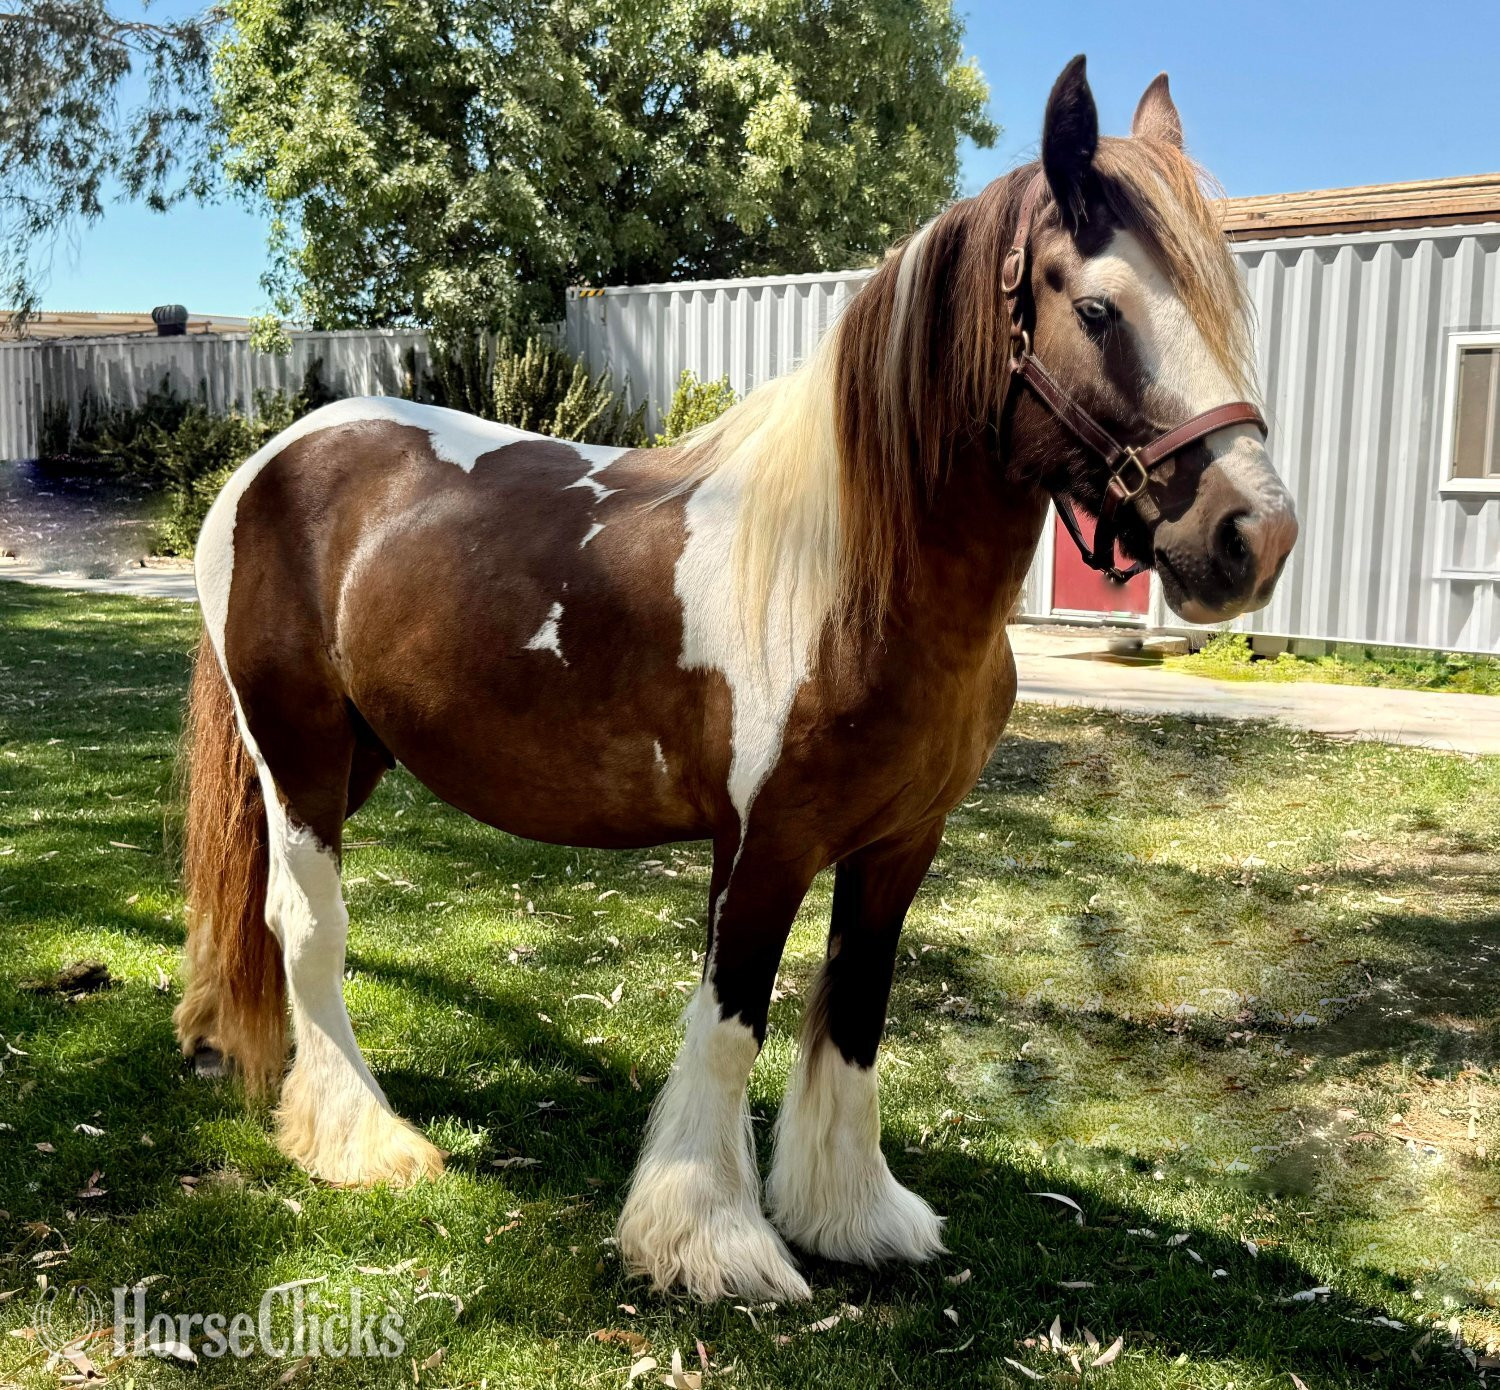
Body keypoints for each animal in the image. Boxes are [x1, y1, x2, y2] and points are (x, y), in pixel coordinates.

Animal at [174, 56, 1298, 1303]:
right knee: (307, 926)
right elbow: (732, 1018)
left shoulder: (899, 845)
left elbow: (854, 1011)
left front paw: (853, 1215)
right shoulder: (764, 846)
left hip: (358, 756)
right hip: (302, 757)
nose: (1254, 535)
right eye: (1099, 310)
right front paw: (711, 1236)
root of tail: (271, 462)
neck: (851, 578)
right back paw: (363, 1140)